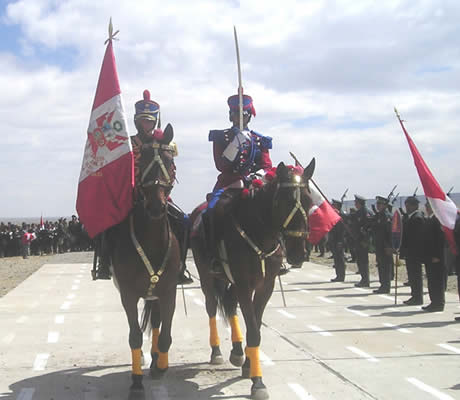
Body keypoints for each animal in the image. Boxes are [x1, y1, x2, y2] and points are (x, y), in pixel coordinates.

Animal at [107, 122, 181, 390]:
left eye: (169, 161)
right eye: (142, 161)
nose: (157, 206)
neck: (151, 241)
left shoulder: (169, 292)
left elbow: (166, 334)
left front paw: (161, 367)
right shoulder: (128, 295)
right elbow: (135, 336)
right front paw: (137, 380)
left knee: (157, 323)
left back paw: (157, 359)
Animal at [189, 159, 314, 400]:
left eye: (309, 201)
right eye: (283, 202)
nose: (298, 254)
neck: (259, 232)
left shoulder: (265, 285)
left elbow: (254, 326)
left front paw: (248, 365)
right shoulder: (244, 284)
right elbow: (254, 330)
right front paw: (258, 382)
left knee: (230, 304)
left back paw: (237, 351)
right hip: (207, 276)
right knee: (212, 307)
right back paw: (216, 351)